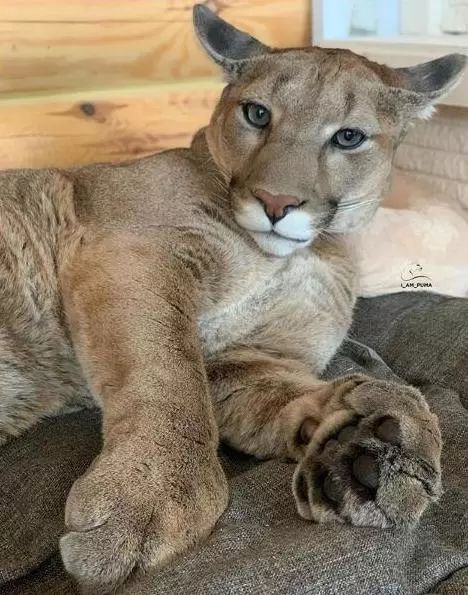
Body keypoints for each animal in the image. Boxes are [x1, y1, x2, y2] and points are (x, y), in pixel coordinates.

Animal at [0, 5, 464, 595]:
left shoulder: (242, 362)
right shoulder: (135, 253)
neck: (294, 255)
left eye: (349, 137)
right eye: (257, 113)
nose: (276, 202)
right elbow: (171, 376)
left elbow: (292, 394)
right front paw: (153, 499)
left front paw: (366, 439)